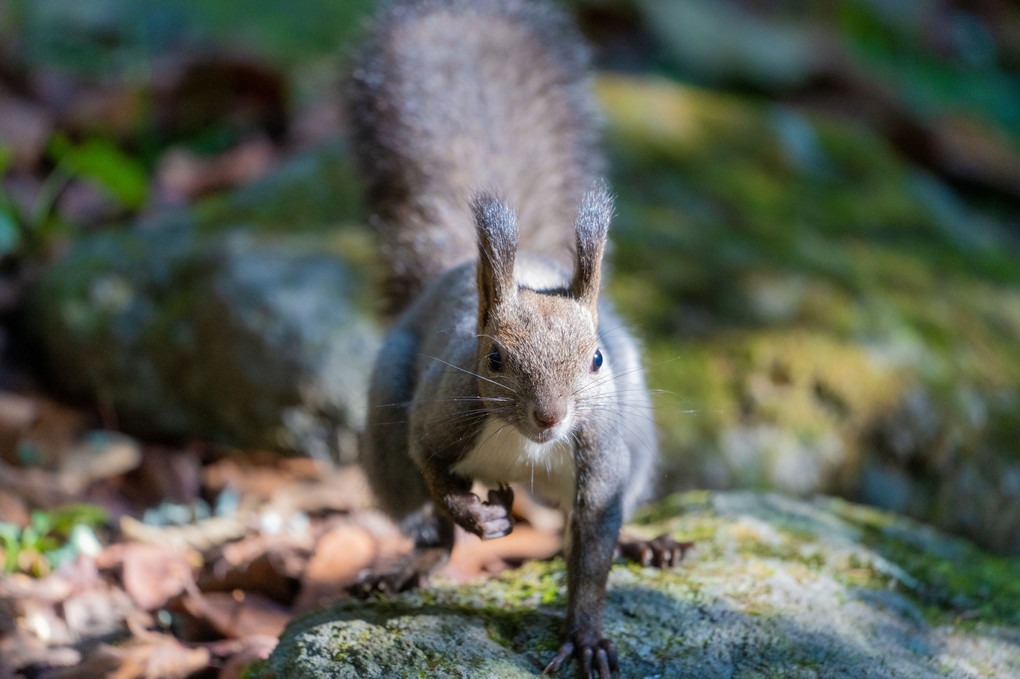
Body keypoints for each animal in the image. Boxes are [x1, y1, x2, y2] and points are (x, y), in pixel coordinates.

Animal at [346, 1, 689, 672]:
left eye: (596, 359)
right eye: (495, 359)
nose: (549, 417)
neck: (520, 446)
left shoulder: (601, 456)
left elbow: (592, 550)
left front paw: (586, 635)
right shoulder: (438, 416)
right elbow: (435, 472)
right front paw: (481, 521)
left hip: (635, 437)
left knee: (583, 524)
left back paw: (643, 542)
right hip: (385, 427)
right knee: (428, 521)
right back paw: (414, 563)